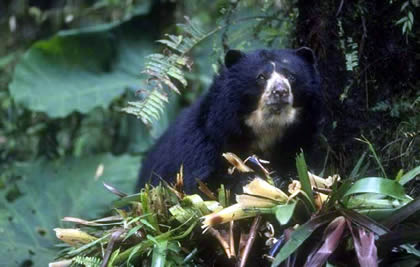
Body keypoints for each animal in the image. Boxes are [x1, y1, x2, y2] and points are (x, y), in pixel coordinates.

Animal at [138, 47, 322, 193]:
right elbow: (201, 182)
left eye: (291, 76)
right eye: (261, 77)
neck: (267, 127)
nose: (280, 91)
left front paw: (283, 177)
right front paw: (249, 181)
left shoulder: (300, 136)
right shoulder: (208, 138)